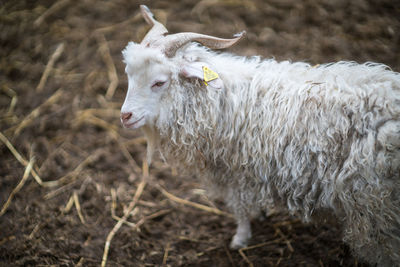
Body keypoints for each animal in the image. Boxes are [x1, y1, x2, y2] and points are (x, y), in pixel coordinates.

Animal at [120, 5, 400, 266]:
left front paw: (240, 240)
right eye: (129, 76)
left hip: (373, 202)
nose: (125, 116)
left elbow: (241, 209)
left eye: (159, 82)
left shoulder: (238, 172)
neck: (228, 99)